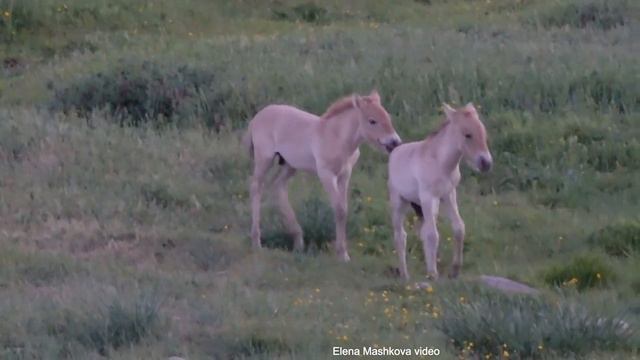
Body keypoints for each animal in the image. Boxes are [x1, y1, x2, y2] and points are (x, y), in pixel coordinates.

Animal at [244, 88, 400, 260]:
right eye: (372, 121)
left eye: (388, 117)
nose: (395, 142)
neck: (337, 137)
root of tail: (257, 117)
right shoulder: (326, 174)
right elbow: (339, 209)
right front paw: (342, 254)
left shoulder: (345, 174)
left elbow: (344, 209)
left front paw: (343, 252)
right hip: (264, 159)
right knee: (256, 187)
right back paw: (257, 242)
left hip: (290, 165)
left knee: (278, 187)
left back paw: (298, 240)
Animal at [388, 102, 492, 280]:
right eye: (468, 135)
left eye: (483, 132)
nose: (486, 163)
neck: (441, 163)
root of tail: (395, 151)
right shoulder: (428, 197)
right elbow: (432, 235)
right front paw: (433, 273)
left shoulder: (448, 195)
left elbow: (459, 228)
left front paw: (455, 270)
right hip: (400, 202)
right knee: (400, 236)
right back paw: (405, 274)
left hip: (423, 205)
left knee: (421, 231)